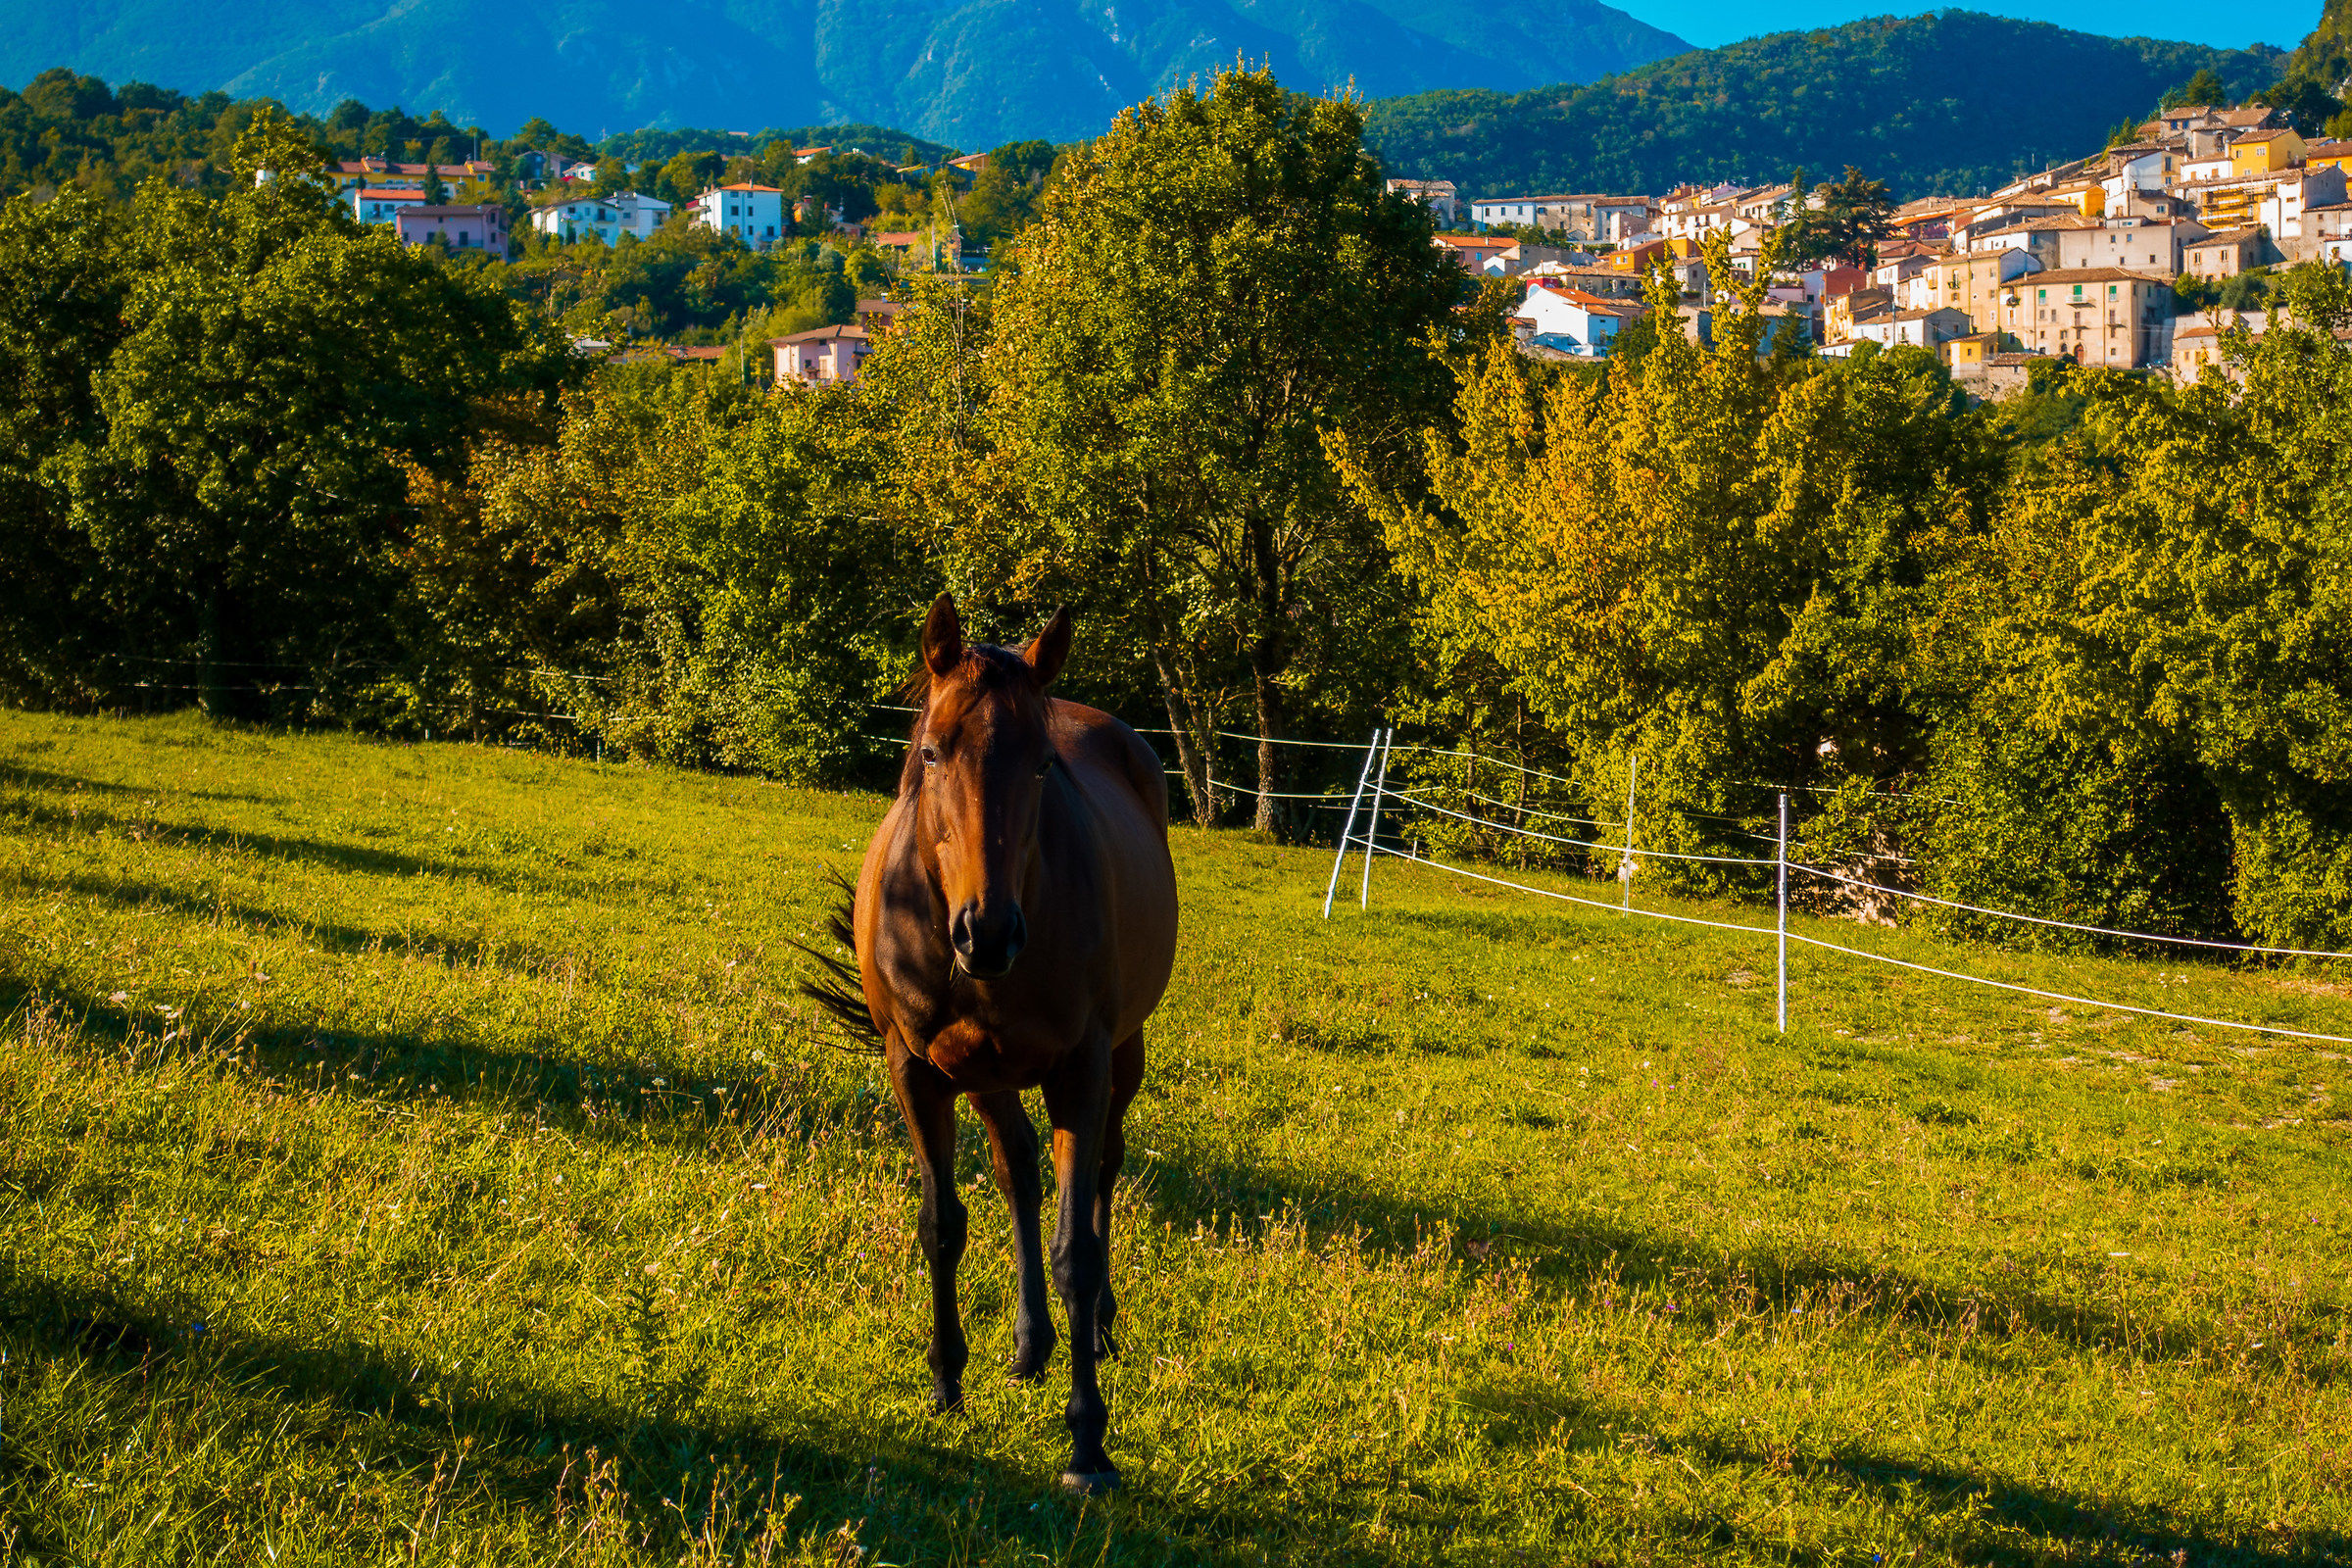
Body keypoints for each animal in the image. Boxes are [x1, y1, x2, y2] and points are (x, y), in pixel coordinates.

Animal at [801, 594, 1179, 1493]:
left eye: (1043, 765)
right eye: (932, 751)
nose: (989, 933)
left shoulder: (1080, 1069)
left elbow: (1078, 1250)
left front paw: (1088, 1444)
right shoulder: (917, 1070)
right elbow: (943, 1221)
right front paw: (946, 1381)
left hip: (1122, 1058)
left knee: (1102, 1174)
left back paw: (1098, 1327)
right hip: (988, 1076)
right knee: (1019, 1173)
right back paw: (1028, 1345)